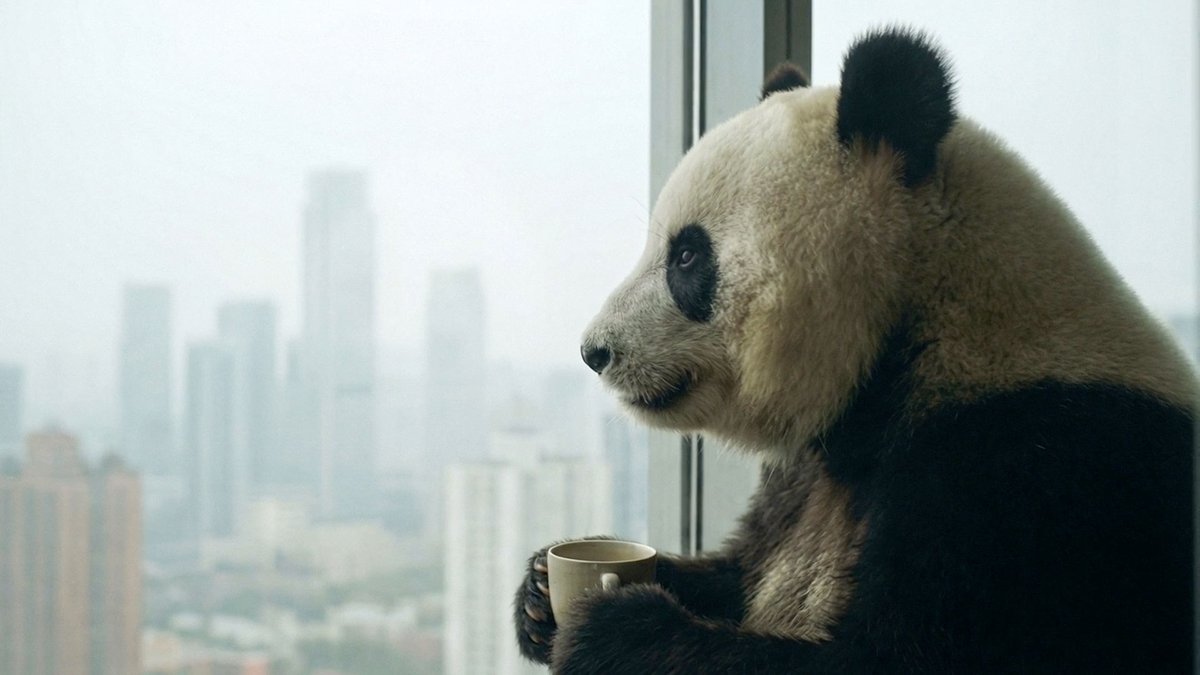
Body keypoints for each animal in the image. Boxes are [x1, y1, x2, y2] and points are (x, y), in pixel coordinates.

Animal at [514, 28, 1196, 673]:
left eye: (686, 255)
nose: (595, 351)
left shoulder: (1034, 472)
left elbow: (892, 656)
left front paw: (613, 626)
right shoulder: (807, 472)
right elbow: (739, 572)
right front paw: (541, 593)